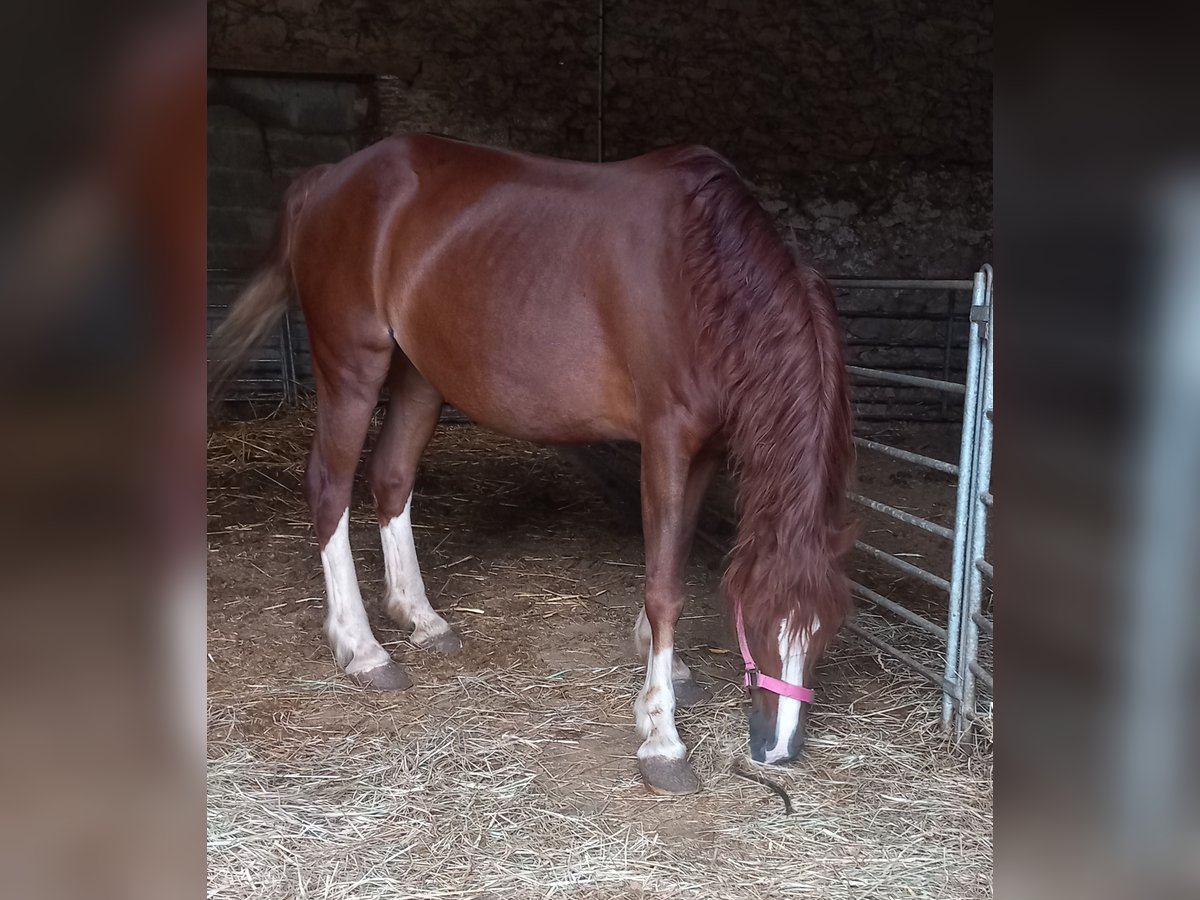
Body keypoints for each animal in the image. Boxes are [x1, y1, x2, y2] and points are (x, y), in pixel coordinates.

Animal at [213, 135, 854, 796]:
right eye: (758, 619)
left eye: (831, 628)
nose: (777, 750)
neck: (702, 273)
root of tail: (326, 180)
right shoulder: (667, 438)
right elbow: (666, 588)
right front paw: (661, 735)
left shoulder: (700, 449)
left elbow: (670, 562)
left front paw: (668, 669)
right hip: (352, 365)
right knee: (330, 489)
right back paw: (362, 649)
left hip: (420, 377)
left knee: (390, 478)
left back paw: (422, 618)